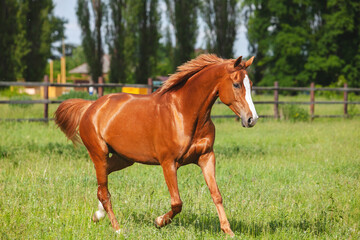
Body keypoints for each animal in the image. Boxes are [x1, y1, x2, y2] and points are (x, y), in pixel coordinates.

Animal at [53, 54, 258, 236]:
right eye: (236, 84)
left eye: (251, 85)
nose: (252, 119)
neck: (183, 112)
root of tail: (91, 106)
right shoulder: (169, 163)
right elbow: (177, 203)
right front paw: (159, 222)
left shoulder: (206, 157)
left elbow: (216, 194)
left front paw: (228, 231)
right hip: (99, 154)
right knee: (104, 191)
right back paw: (117, 229)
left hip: (123, 158)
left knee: (102, 185)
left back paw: (98, 215)